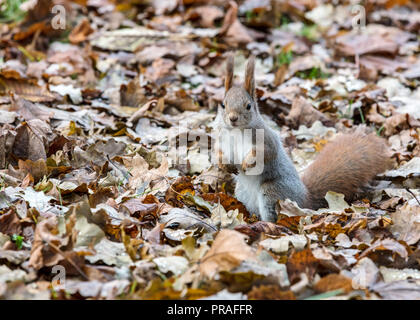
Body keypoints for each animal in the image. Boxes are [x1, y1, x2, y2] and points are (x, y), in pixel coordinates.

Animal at [215, 53, 392, 221]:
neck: (236, 131)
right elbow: (218, 152)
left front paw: (247, 163)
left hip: (272, 192)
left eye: (248, 106)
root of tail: (304, 198)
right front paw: (224, 165)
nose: (232, 118)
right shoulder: (222, 139)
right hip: (242, 192)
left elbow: (265, 153)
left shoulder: (266, 140)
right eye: (223, 104)